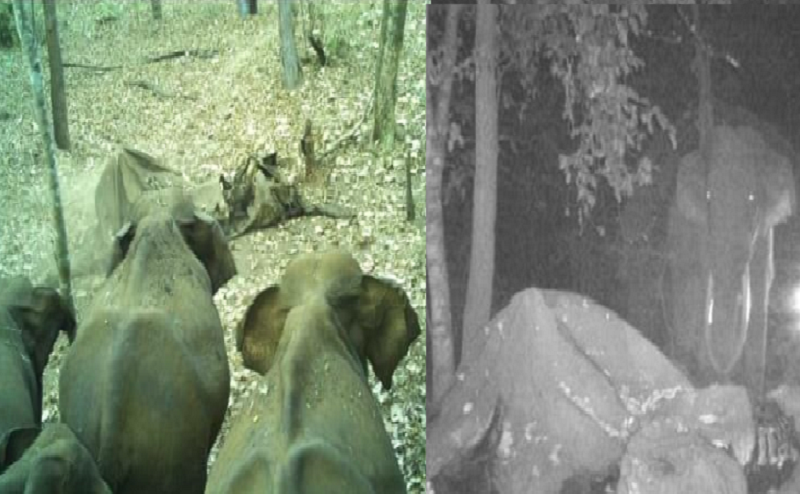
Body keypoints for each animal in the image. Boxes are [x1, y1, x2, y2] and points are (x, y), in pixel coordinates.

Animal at [668, 125, 792, 396]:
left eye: (752, 198)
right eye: (708, 196)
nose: (723, 377)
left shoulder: (765, 235)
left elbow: (759, 293)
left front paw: (754, 397)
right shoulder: (702, 232)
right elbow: (703, 290)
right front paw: (708, 381)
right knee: (685, 287)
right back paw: (682, 363)